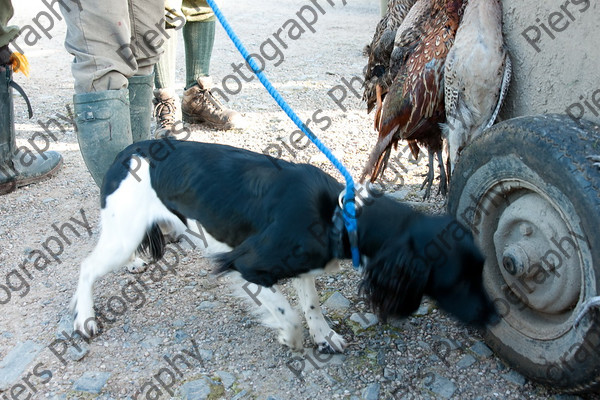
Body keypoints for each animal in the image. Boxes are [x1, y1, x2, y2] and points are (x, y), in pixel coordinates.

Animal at [71, 139, 496, 352]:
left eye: (482, 269)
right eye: (457, 280)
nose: (495, 317)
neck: (338, 214)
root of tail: (128, 150)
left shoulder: (305, 265)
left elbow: (310, 305)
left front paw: (324, 337)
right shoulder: (245, 265)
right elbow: (288, 313)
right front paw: (290, 339)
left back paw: (133, 266)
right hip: (122, 234)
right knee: (87, 267)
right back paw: (85, 318)